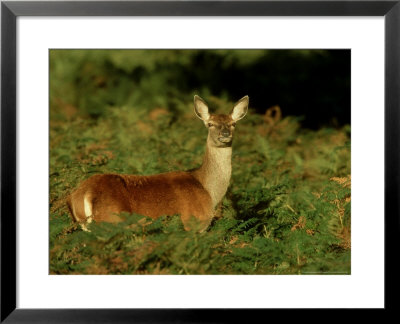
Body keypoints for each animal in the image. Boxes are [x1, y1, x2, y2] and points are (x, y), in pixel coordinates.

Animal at [67, 95, 248, 232]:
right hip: (112, 220)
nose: (225, 134)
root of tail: (83, 194)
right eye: (210, 124)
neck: (207, 189)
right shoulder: (193, 223)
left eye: (233, 124)